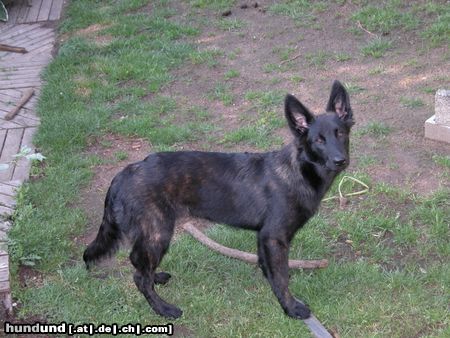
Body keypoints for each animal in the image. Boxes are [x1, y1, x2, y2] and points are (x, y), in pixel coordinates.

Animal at [82, 80, 354, 320]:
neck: (299, 171)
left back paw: (156, 277)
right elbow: (282, 277)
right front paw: (291, 307)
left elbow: (271, 269)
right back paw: (164, 309)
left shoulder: (264, 237)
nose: (340, 160)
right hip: (158, 233)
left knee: (140, 266)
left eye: (340, 133)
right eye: (318, 140)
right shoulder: (274, 237)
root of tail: (122, 175)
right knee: (140, 277)